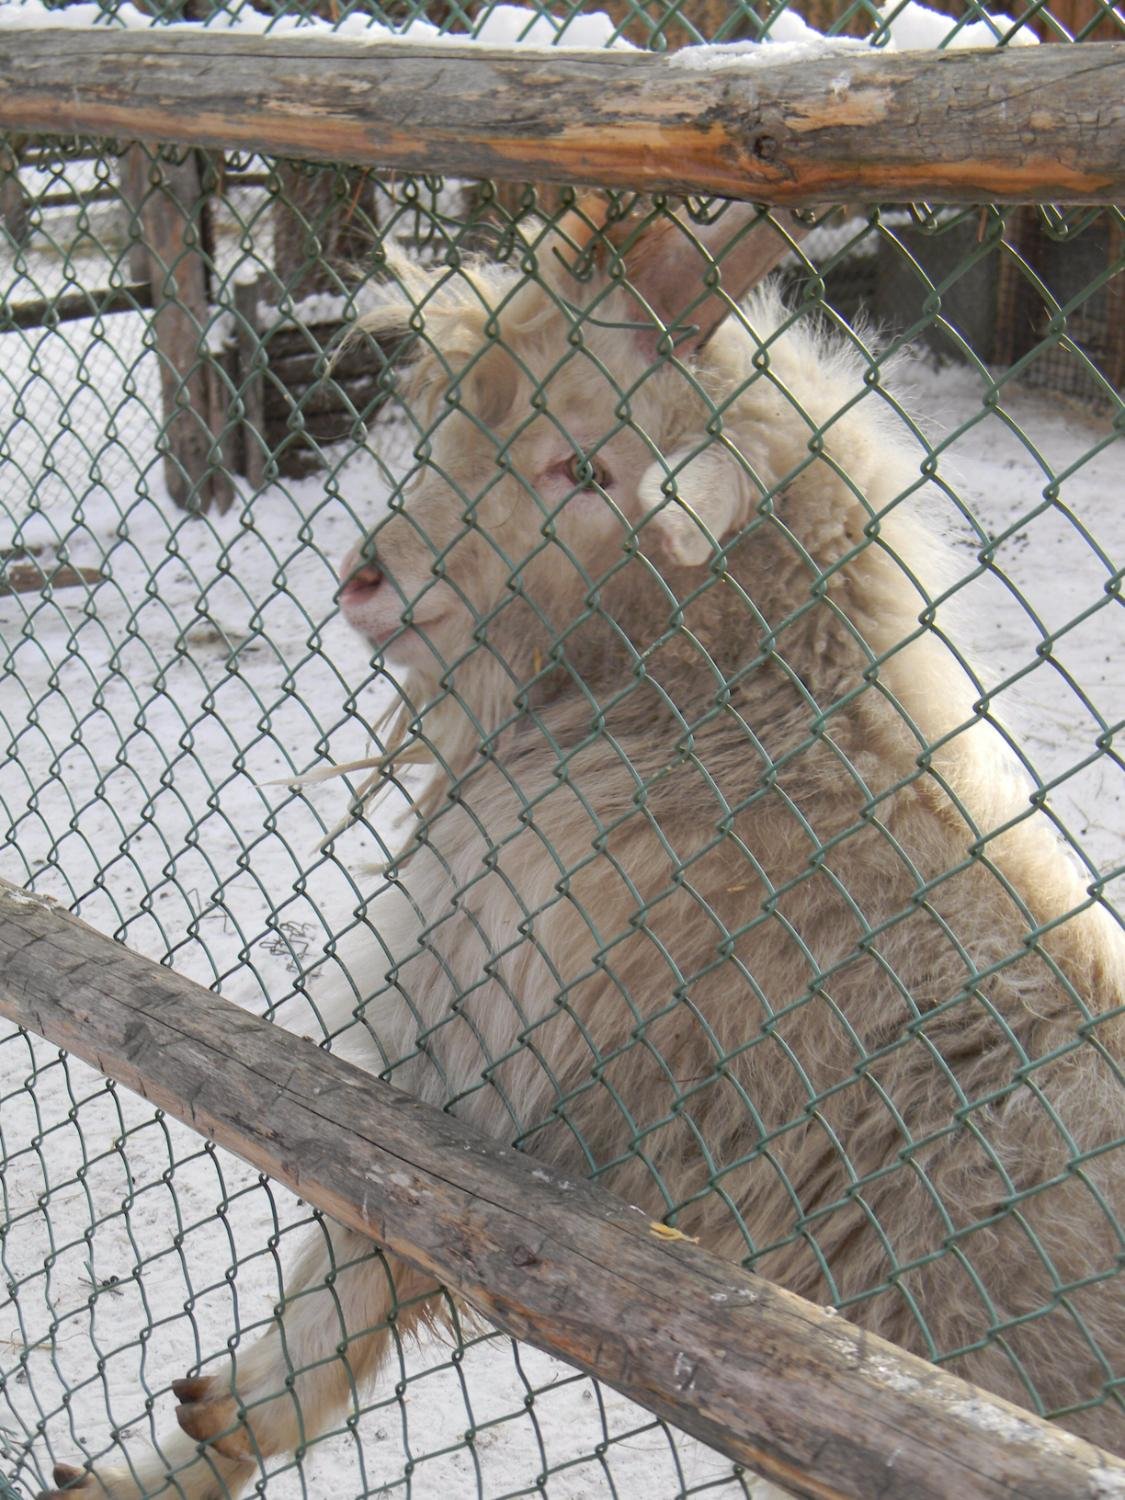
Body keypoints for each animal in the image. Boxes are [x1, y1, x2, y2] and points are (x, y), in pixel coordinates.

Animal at [39, 202, 1122, 1500]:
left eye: (588, 470)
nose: (367, 580)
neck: (737, 718)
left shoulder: (484, 1079)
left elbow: (339, 1294)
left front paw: (171, 1458)